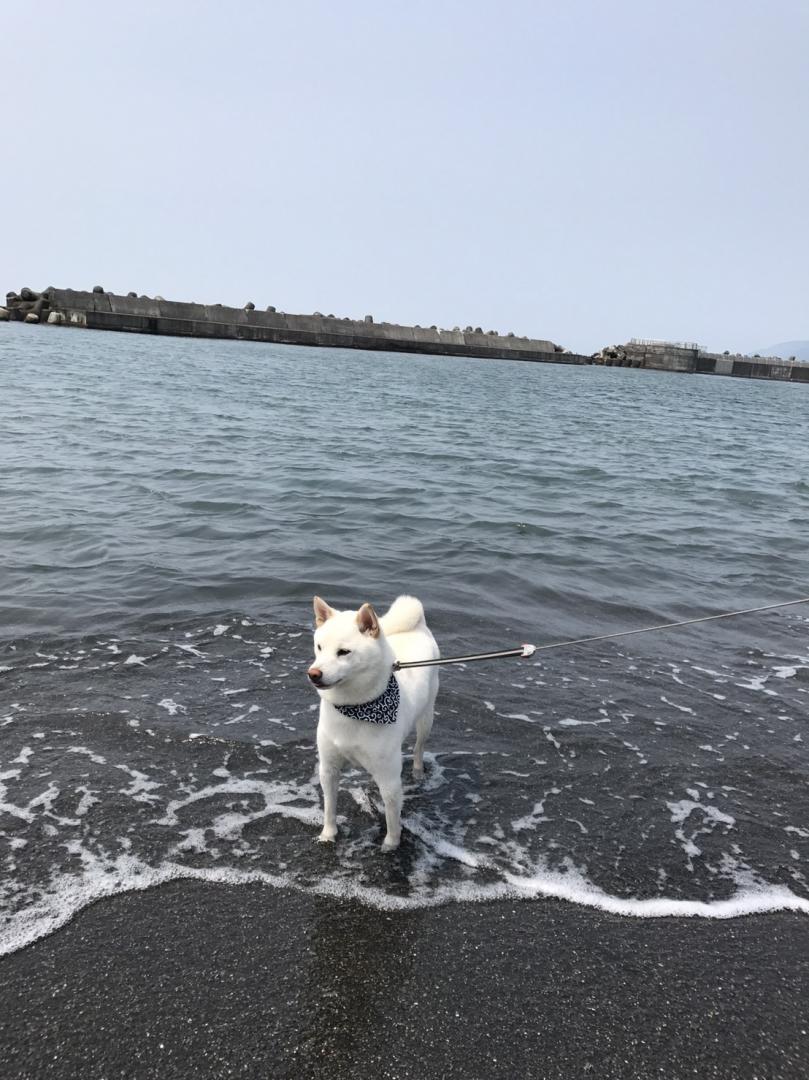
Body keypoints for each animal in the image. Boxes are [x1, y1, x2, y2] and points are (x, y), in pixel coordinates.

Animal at [306, 596, 438, 846]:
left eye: (343, 652)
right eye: (319, 647)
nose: (313, 674)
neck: (353, 708)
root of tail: (418, 626)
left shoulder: (390, 780)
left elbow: (392, 817)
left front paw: (391, 844)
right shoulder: (328, 768)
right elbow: (329, 807)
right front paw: (328, 834)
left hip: (426, 718)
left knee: (419, 747)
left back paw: (418, 771)